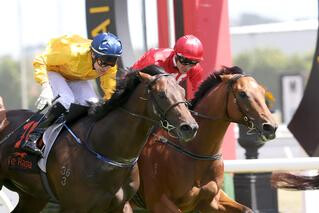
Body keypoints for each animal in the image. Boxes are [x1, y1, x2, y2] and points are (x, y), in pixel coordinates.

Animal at [0, 65, 199, 212]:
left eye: (183, 91)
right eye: (161, 94)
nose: (190, 127)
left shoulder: (120, 205)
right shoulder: (74, 207)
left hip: (33, 197)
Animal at [134, 66, 278, 213]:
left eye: (262, 92)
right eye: (242, 94)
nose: (270, 127)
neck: (196, 151)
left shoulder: (211, 202)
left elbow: (247, 209)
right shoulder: (160, 202)